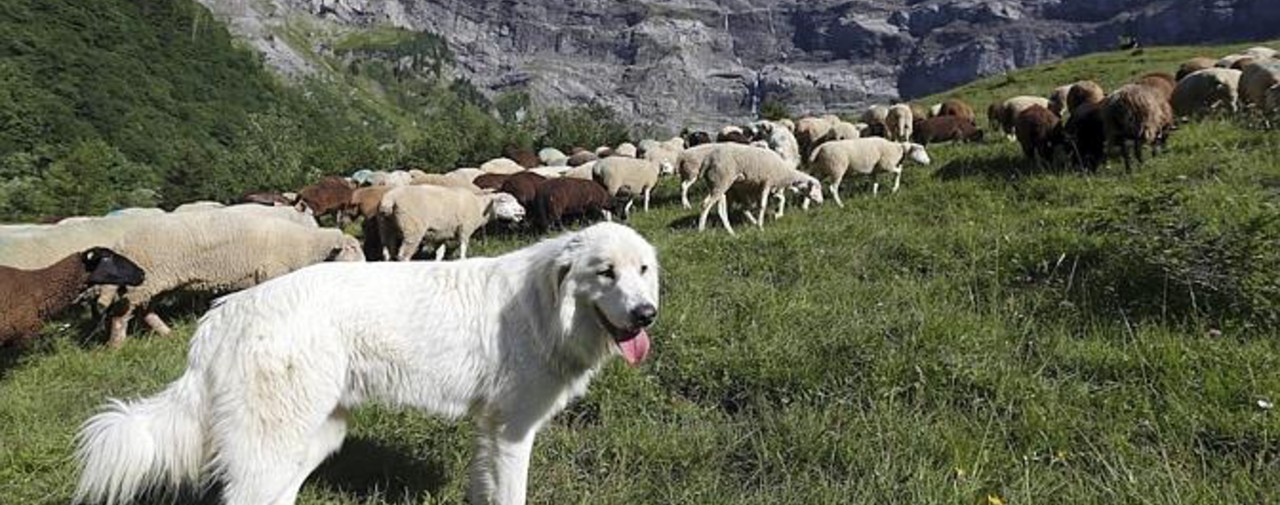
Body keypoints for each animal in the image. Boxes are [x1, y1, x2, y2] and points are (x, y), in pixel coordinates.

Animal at [96, 212, 360, 345]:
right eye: (352, 250)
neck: (305, 245)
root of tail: (121, 244)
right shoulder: (272, 272)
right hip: (143, 282)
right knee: (122, 312)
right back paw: (116, 345)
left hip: (154, 282)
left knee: (146, 310)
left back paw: (167, 333)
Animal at [376, 186, 522, 263]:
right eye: (503, 201)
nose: (522, 211)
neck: (479, 207)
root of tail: (390, 198)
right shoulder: (465, 229)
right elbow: (463, 249)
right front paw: (462, 261)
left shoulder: (441, 234)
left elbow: (439, 253)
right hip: (412, 229)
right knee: (403, 255)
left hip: (386, 227)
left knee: (387, 253)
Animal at [696, 143, 824, 236]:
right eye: (817, 189)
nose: (821, 202)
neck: (785, 173)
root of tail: (707, 160)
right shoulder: (767, 183)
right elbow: (762, 205)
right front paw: (760, 226)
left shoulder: (767, 188)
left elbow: (780, 199)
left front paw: (777, 215)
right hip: (721, 181)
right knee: (706, 205)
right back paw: (701, 230)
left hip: (717, 185)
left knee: (721, 208)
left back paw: (731, 231)